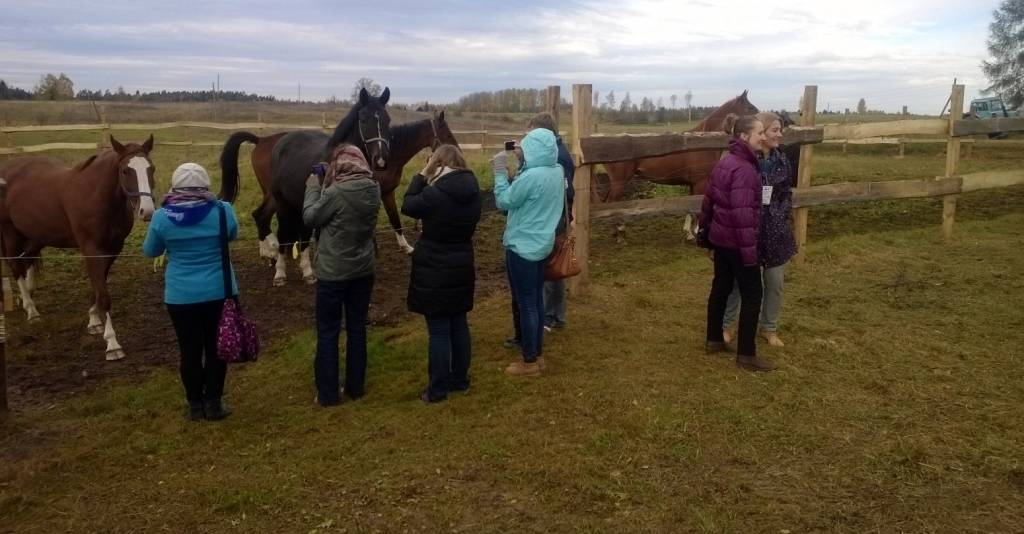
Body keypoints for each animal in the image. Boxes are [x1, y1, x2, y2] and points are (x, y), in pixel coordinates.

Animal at [0, 135, 155, 360]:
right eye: (126, 171)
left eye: (151, 168)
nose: (147, 211)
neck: (95, 196)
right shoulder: (92, 249)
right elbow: (104, 296)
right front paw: (112, 344)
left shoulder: (112, 249)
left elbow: (97, 288)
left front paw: (94, 322)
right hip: (10, 233)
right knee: (16, 267)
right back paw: (31, 310)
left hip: (36, 236)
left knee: (26, 261)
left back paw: (27, 297)